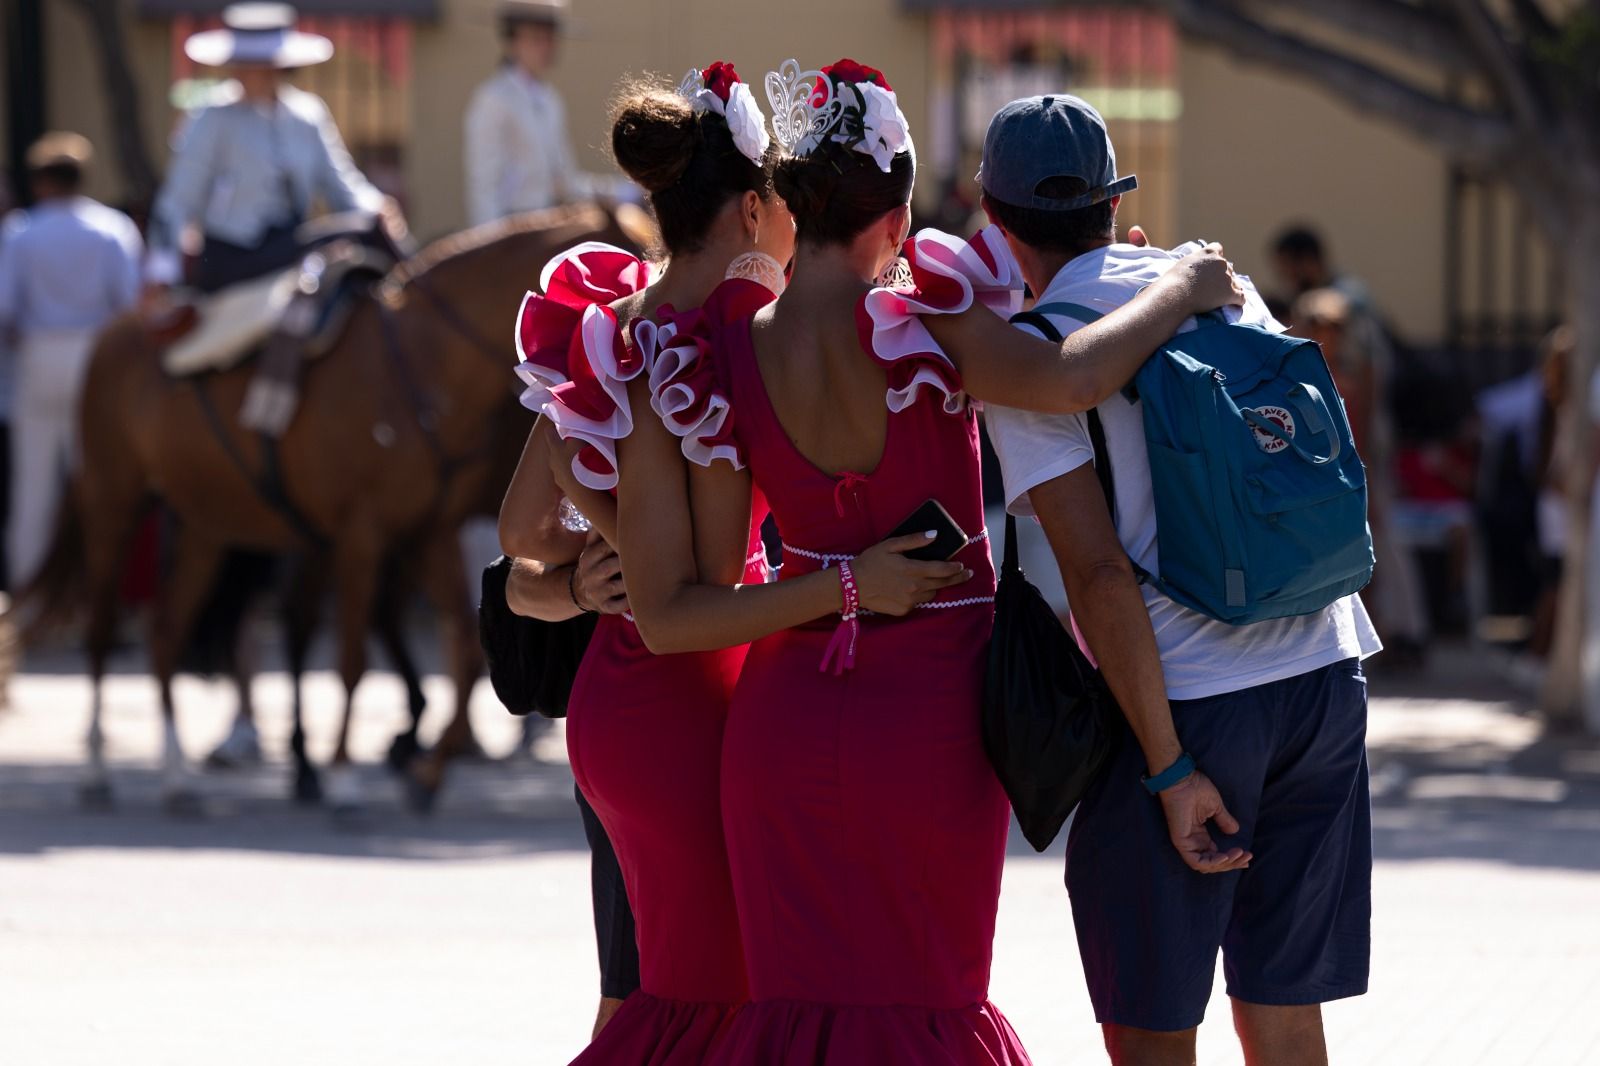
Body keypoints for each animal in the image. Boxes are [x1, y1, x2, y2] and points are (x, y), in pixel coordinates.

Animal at [18, 201, 643, 813]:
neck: (422, 362)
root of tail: (121, 329)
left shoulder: (429, 532)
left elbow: (464, 650)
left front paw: (424, 774)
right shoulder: (361, 536)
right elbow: (352, 656)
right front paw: (344, 775)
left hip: (205, 525)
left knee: (167, 632)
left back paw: (177, 777)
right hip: (113, 505)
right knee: (102, 630)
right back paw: (98, 771)